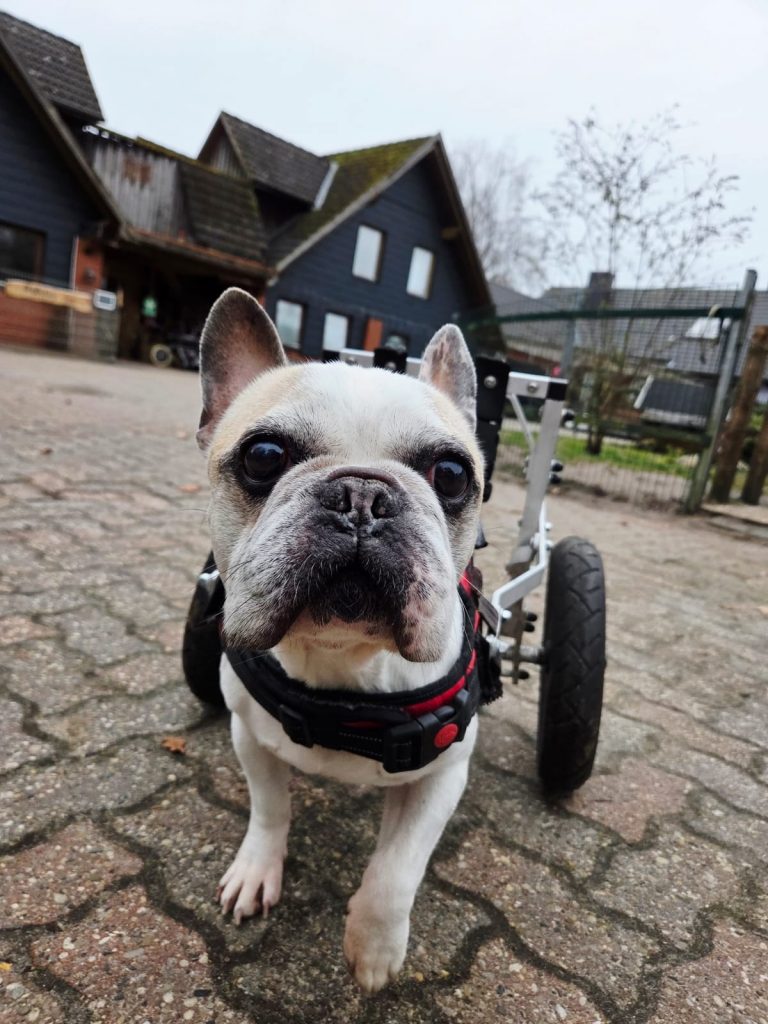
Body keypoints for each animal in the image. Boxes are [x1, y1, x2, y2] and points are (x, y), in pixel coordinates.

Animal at [196, 287, 484, 992]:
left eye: (451, 473)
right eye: (263, 457)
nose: (362, 494)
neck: (344, 662)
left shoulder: (444, 775)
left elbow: (396, 871)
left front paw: (374, 948)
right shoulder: (250, 738)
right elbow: (270, 807)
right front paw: (257, 870)